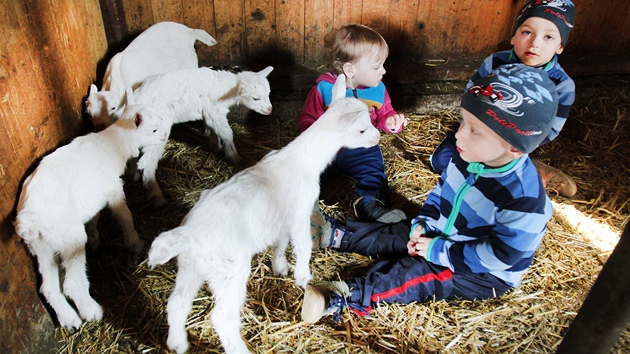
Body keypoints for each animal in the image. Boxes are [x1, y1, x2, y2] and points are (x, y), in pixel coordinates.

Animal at [15, 90, 168, 330]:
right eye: (153, 129)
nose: (164, 135)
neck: (114, 141)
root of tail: (29, 220)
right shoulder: (112, 188)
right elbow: (125, 215)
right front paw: (134, 242)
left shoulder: (92, 197)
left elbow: (95, 217)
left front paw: (96, 238)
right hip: (69, 236)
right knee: (71, 284)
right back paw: (91, 312)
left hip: (40, 246)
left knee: (49, 288)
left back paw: (69, 320)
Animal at [128, 65, 274, 207]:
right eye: (255, 98)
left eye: (268, 94)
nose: (269, 110)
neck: (225, 89)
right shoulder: (214, 111)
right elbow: (227, 133)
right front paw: (234, 156)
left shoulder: (210, 113)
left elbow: (214, 130)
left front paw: (215, 144)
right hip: (156, 132)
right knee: (147, 162)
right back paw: (157, 196)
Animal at [148, 74, 380, 354]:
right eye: (361, 129)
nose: (378, 137)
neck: (304, 160)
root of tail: (188, 234)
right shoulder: (299, 212)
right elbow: (302, 245)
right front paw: (303, 277)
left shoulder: (281, 217)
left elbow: (280, 243)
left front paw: (280, 267)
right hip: (229, 271)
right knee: (222, 317)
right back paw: (238, 349)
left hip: (190, 267)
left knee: (177, 303)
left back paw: (178, 343)